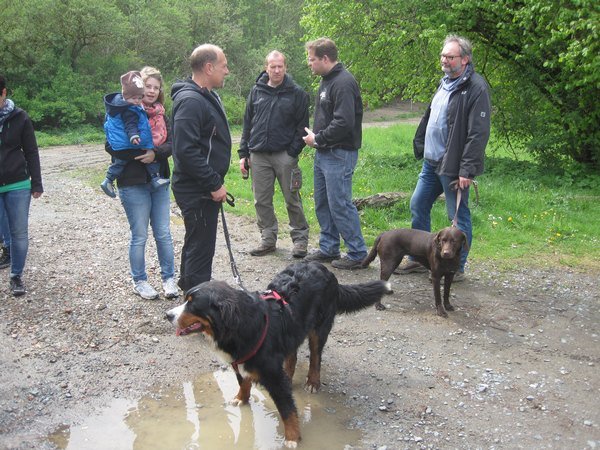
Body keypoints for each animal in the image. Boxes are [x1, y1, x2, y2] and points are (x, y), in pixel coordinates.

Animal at [164, 260, 392, 446]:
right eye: (185, 299)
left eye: (192, 304)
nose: (167, 315)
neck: (241, 325)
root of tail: (324, 268)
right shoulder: (241, 360)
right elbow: (244, 382)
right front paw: (241, 398)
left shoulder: (272, 374)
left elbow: (287, 410)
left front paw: (292, 438)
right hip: (293, 331)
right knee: (292, 357)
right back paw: (290, 376)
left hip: (319, 328)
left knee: (315, 357)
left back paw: (313, 381)